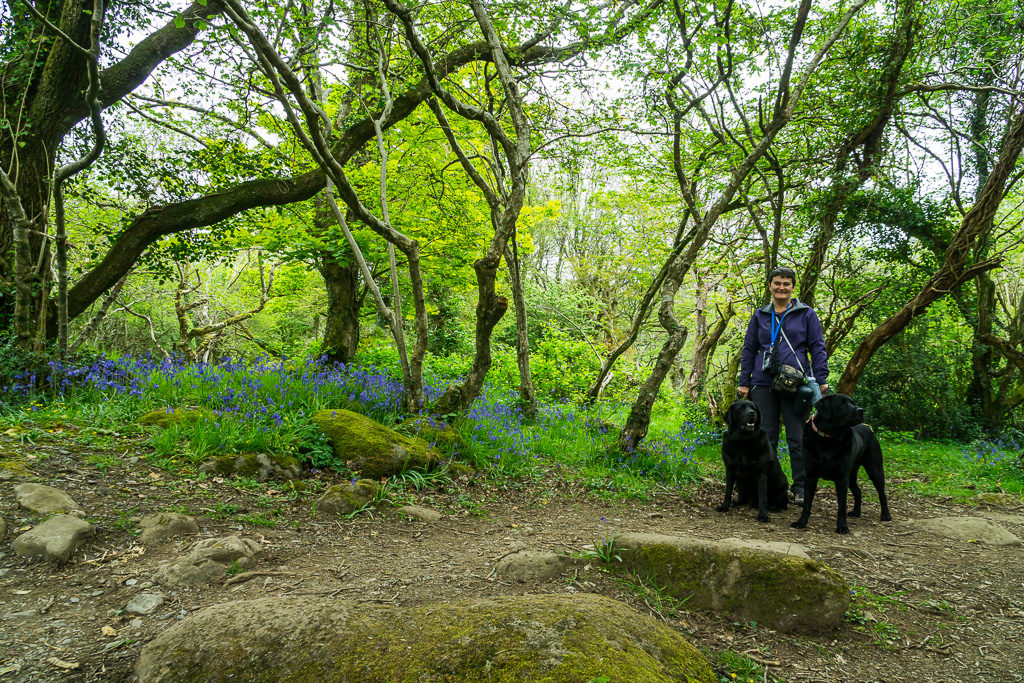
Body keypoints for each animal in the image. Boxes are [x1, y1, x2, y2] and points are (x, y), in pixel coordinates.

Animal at [786, 395, 892, 532]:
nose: (861, 410)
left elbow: (842, 506)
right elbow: (807, 504)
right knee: (858, 491)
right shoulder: (811, 476)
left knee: (882, 494)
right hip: (851, 476)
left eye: (853, 403)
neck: (828, 438)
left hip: (875, 470)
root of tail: (868, 429)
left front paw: (842, 527)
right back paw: (856, 512)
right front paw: (801, 522)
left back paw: (886, 515)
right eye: (842, 404)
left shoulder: (842, 478)